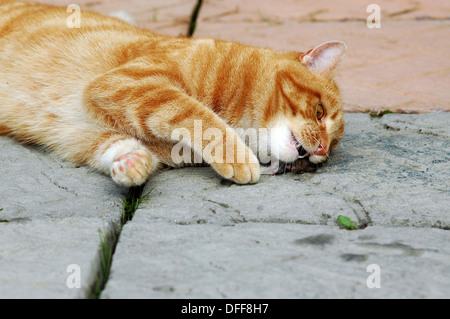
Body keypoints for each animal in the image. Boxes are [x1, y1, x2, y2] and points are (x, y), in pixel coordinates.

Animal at [0, 1, 348, 188]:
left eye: (330, 151)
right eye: (319, 112)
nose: (319, 151)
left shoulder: (83, 136)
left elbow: (118, 146)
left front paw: (131, 164)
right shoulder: (125, 84)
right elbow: (198, 116)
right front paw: (237, 157)